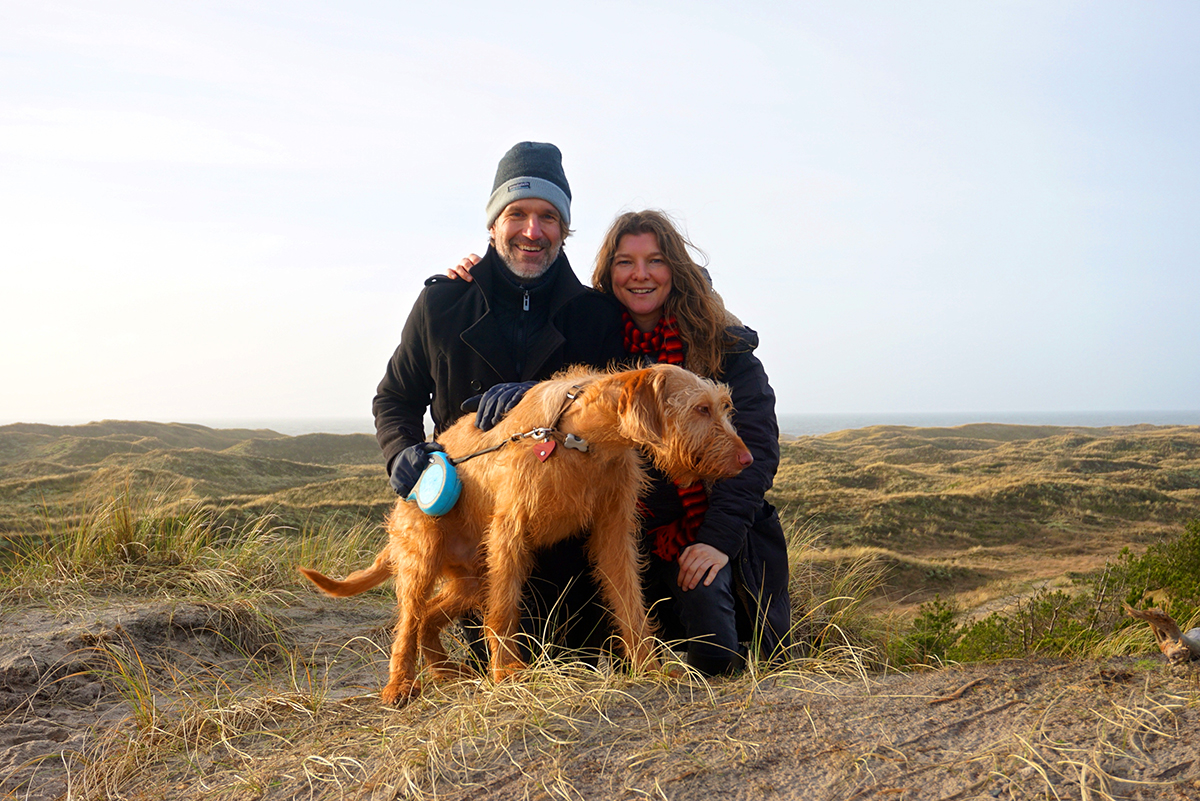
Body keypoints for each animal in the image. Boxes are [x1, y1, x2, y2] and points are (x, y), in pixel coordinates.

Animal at [300, 366, 748, 705]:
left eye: (723, 407)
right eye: (701, 408)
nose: (747, 460)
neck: (577, 437)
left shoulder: (614, 533)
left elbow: (630, 602)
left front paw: (648, 666)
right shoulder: (509, 530)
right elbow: (503, 610)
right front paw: (507, 670)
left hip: (472, 577)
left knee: (428, 616)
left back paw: (445, 671)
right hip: (424, 555)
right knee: (409, 621)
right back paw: (400, 684)